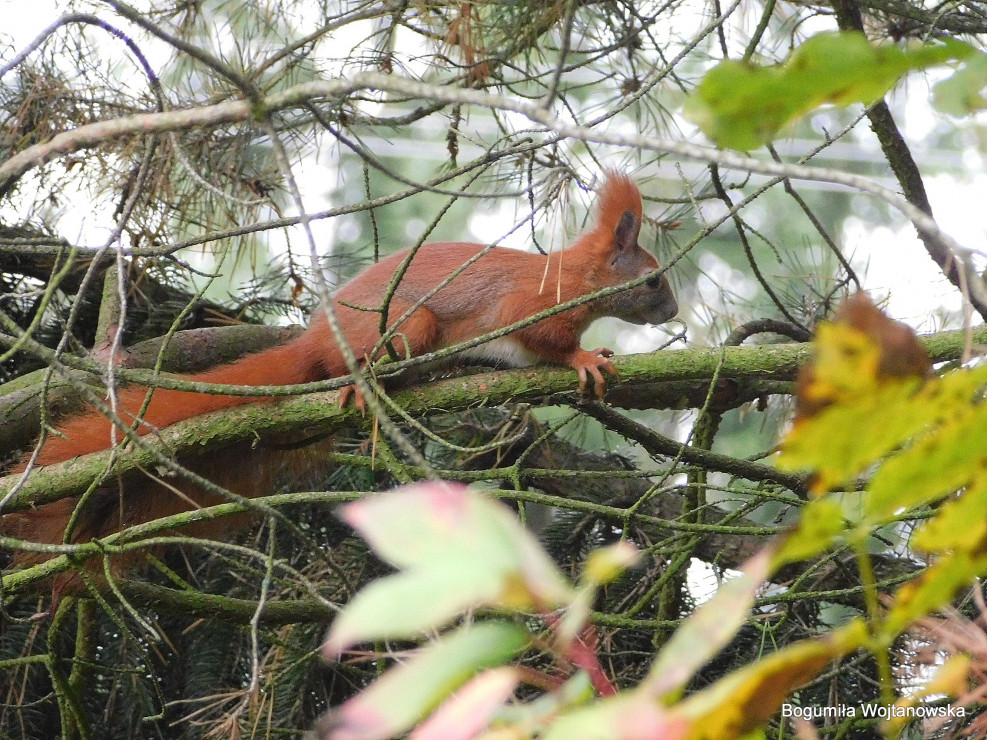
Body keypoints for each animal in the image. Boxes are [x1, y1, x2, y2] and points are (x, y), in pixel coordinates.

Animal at [0, 172, 680, 584]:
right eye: (652, 280)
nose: (674, 313)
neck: (576, 278)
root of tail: (316, 341)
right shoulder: (530, 307)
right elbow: (546, 346)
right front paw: (586, 359)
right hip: (408, 326)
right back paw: (365, 385)